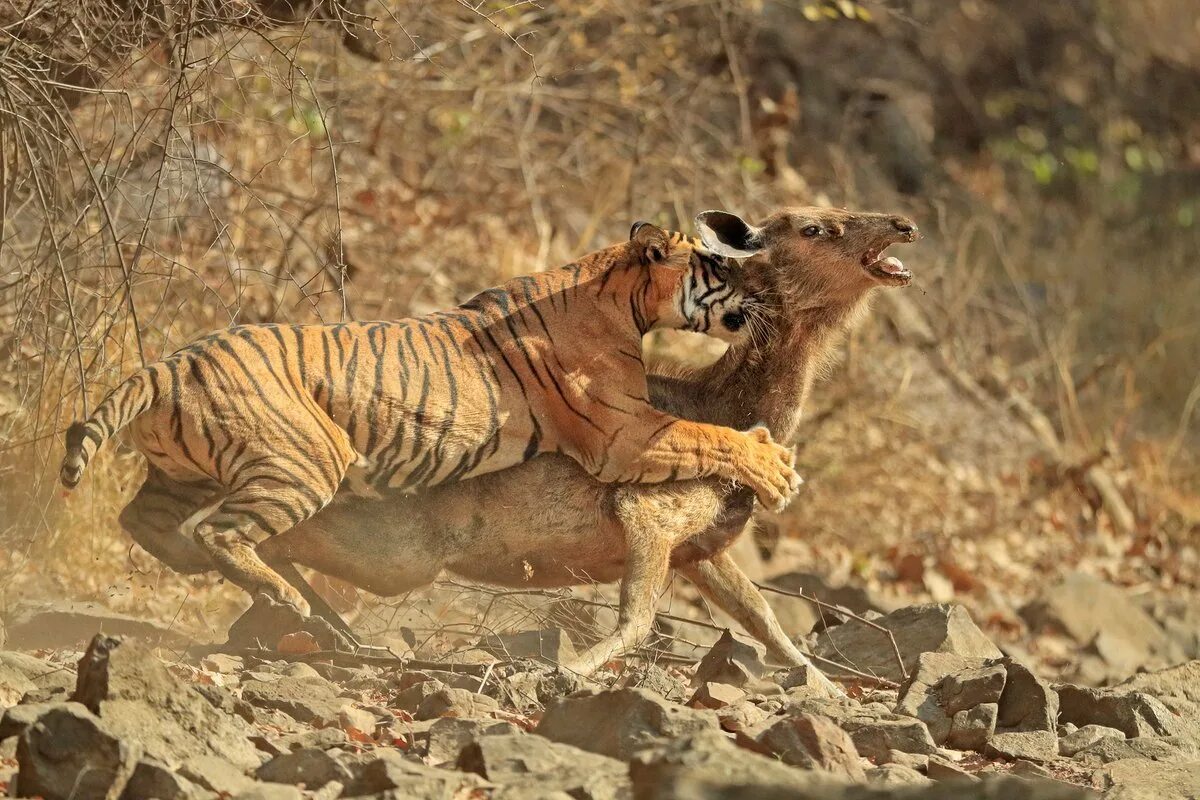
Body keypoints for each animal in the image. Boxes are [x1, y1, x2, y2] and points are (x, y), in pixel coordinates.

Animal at [60, 225, 801, 614]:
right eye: (720, 266)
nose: (770, 292)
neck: (624, 297)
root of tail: (170, 362)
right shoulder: (625, 434)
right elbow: (712, 436)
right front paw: (776, 470)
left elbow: (708, 435)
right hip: (307, 459)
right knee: (222, 533)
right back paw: (284, 598)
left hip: (184, 472)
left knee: (145, 521)